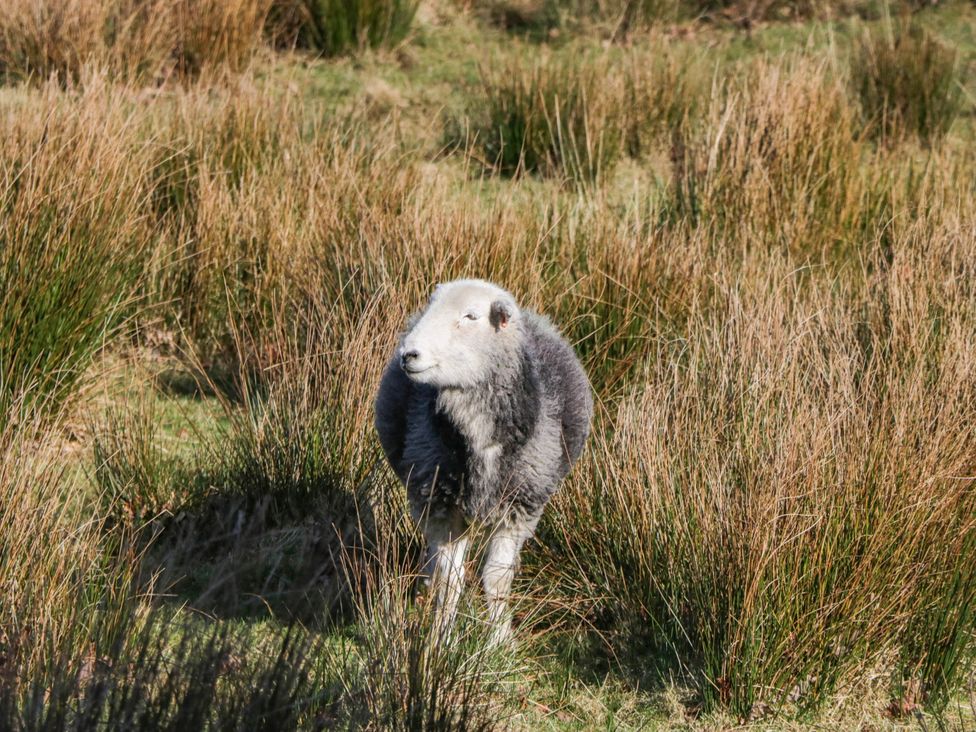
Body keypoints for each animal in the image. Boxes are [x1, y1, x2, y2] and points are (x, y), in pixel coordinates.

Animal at [374, 279, 593, 643]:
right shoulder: (442, 503)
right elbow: (450, 581)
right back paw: (425, 587)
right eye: (433, 307)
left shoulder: (519, 509)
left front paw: (500, 641)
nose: (409, 354)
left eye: (471, 316)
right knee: (435, 557)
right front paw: (441, 638)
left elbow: (497, 578)